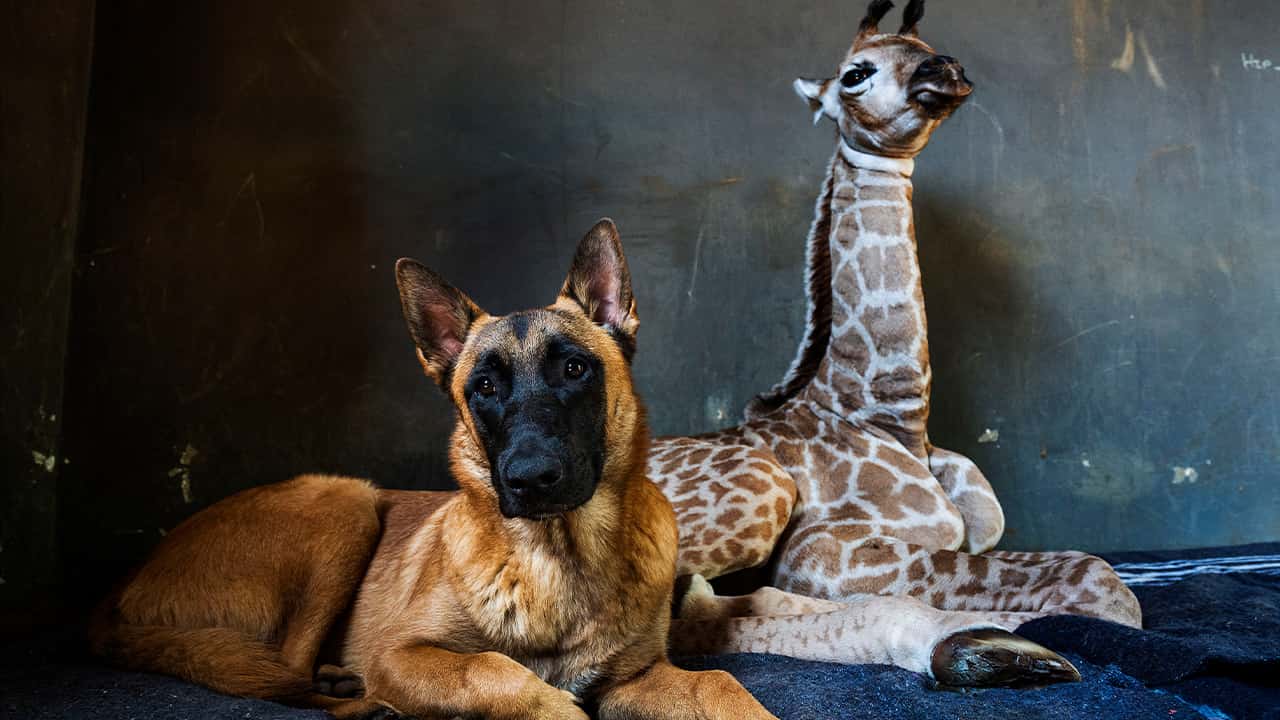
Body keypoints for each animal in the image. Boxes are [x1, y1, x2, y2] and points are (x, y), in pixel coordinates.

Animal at [650, 0, 1142, 660]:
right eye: (855, 73)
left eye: (930, 47)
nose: (947, 70)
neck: (893, 418)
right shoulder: (821, 551)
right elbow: (1097, 583)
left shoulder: (975, 525)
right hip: (759, 491)